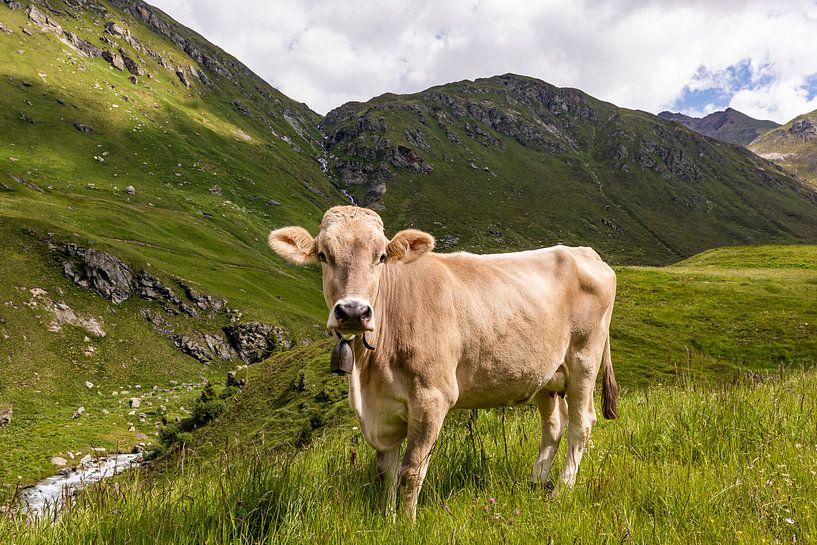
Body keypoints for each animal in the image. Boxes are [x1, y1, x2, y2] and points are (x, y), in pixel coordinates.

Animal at [268, 205, 618, 521]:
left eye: (380, 256)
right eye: (323, 255)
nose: (353, 311)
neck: (369, 374)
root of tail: (585, 252)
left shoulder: (432, 398)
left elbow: (411, 471)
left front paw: (407, 525)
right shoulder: (382, 408)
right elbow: (385, 471)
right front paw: (386, 520)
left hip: (584, 358)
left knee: (581, 424)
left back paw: (562, 491)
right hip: (547, 374)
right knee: (554, 425)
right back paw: (535, 483)